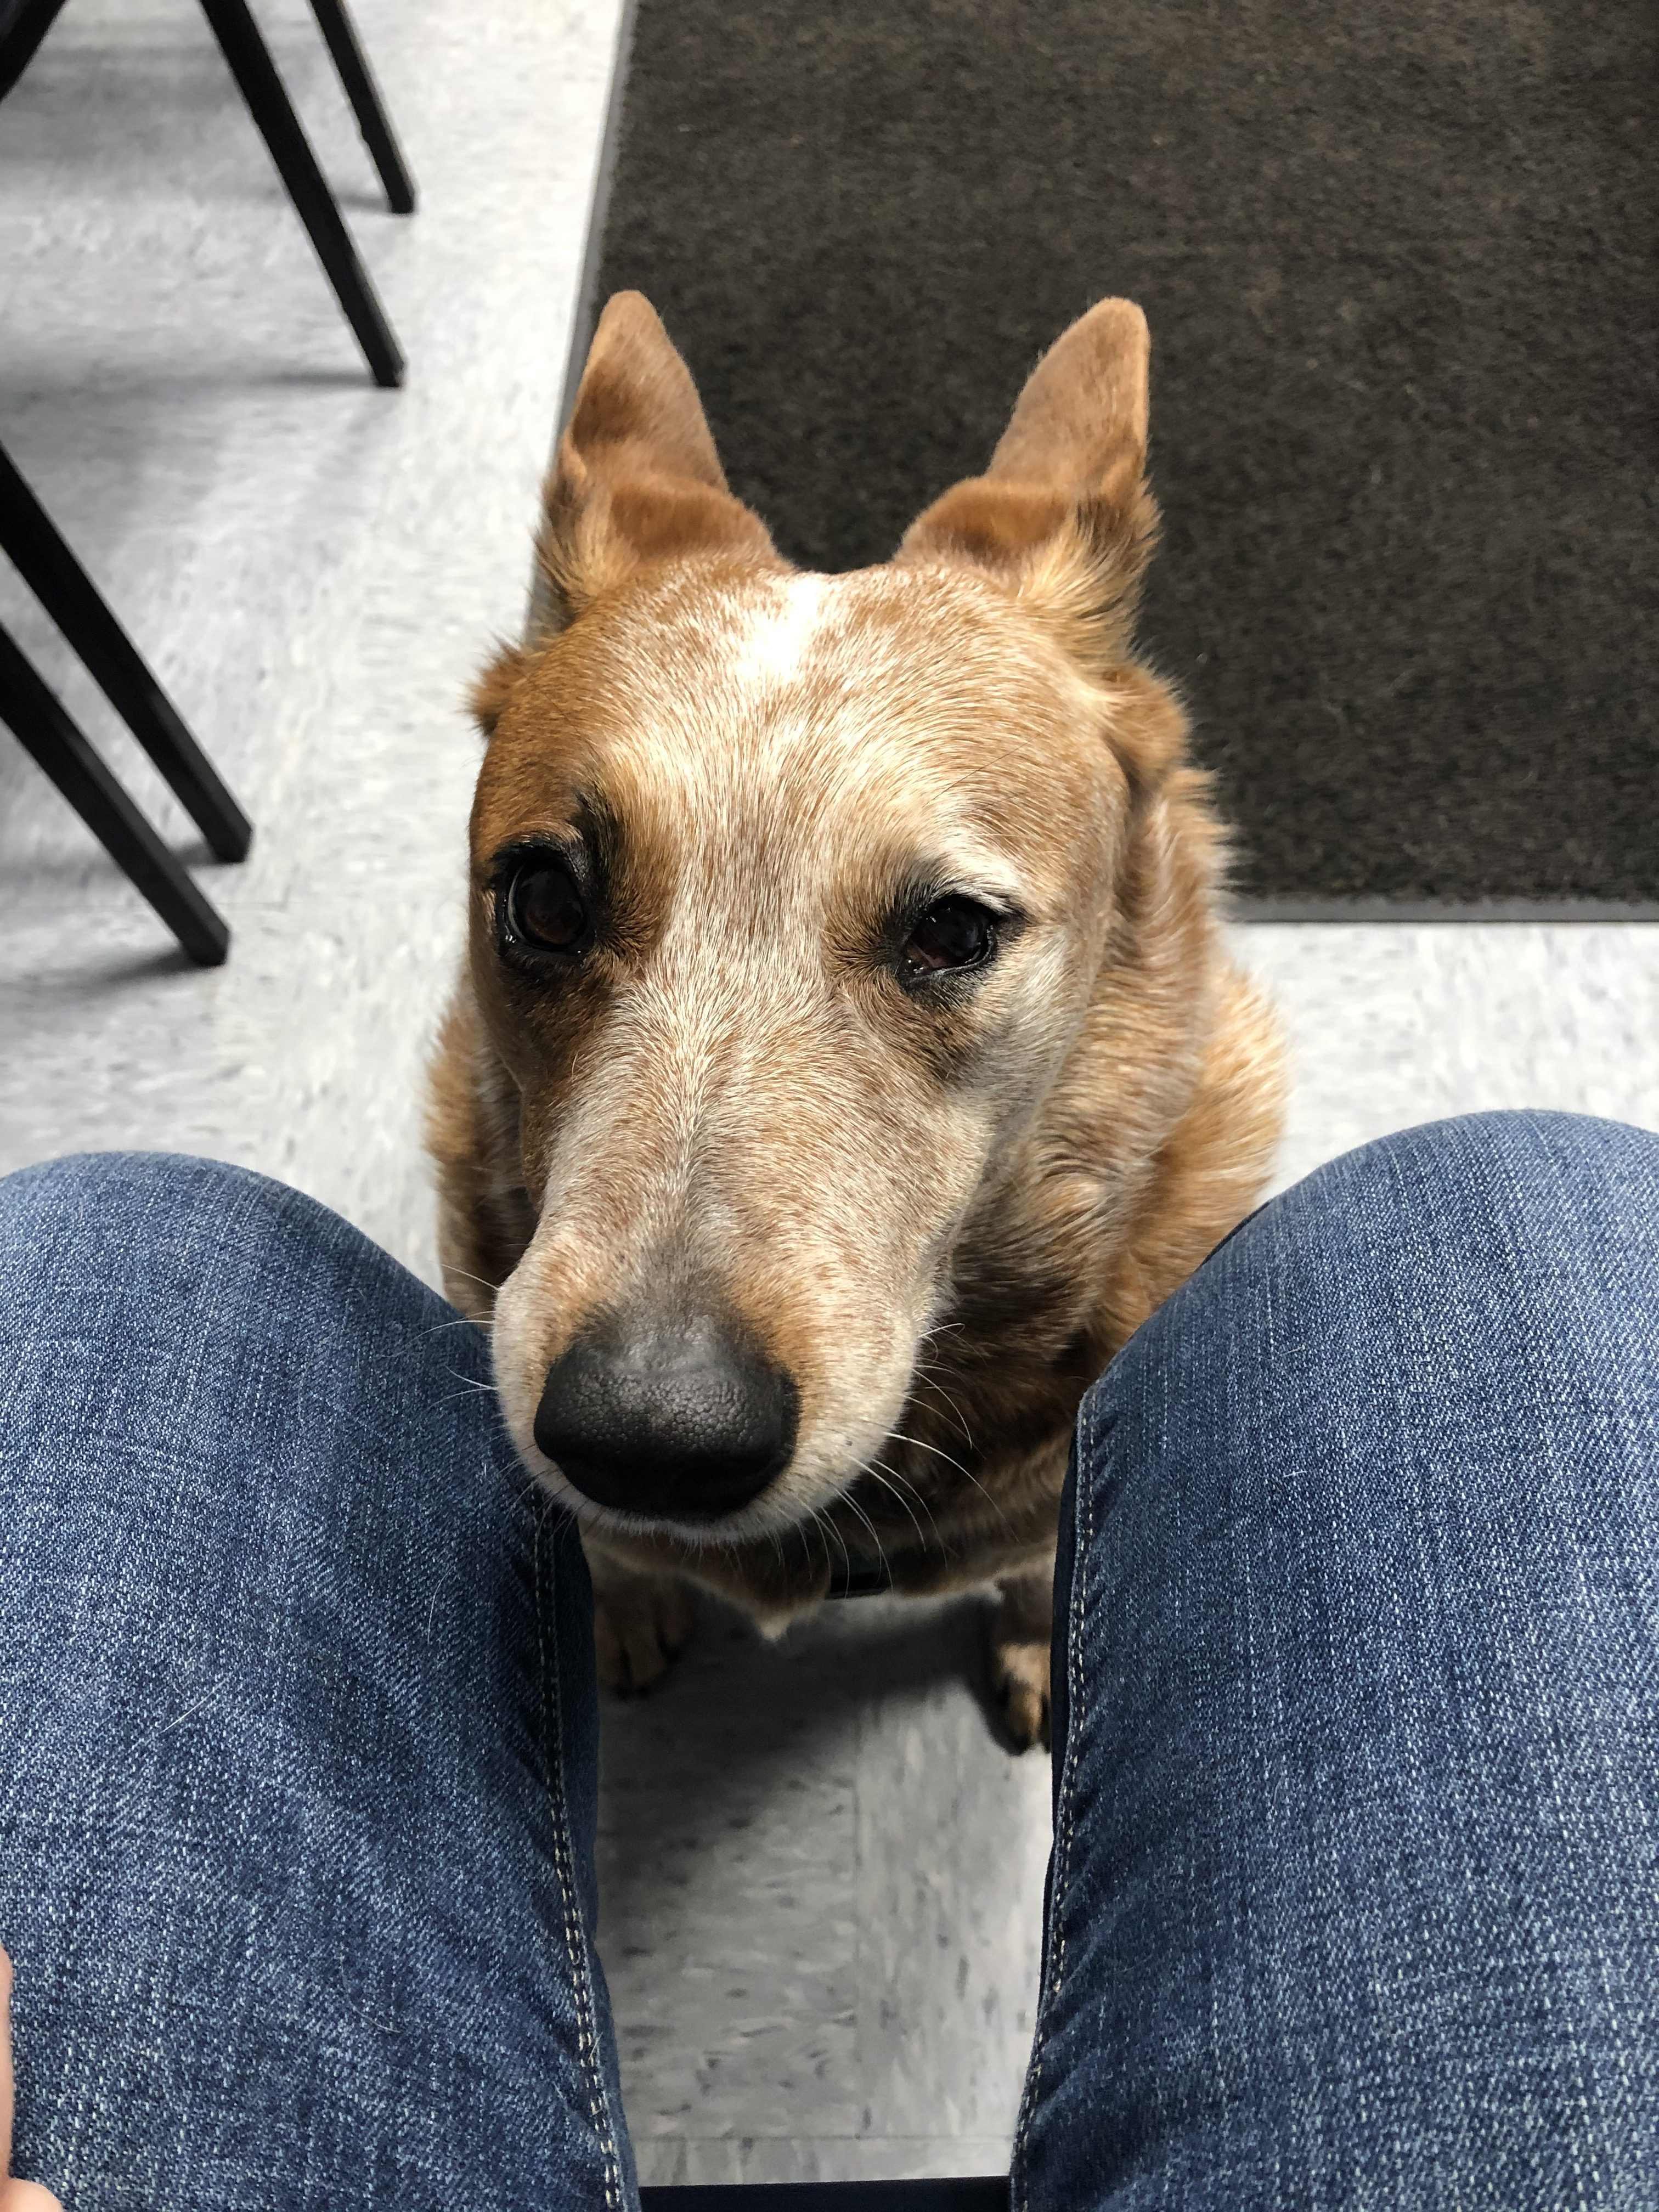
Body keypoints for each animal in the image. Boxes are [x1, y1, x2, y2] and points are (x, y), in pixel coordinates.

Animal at [429, 290, 1283, 1743]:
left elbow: (1039, 1564)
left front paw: (1044, 1646)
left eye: (953, 929)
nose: (648, 1438)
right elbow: (604, 1553)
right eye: (543, 899)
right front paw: (621, 1601)